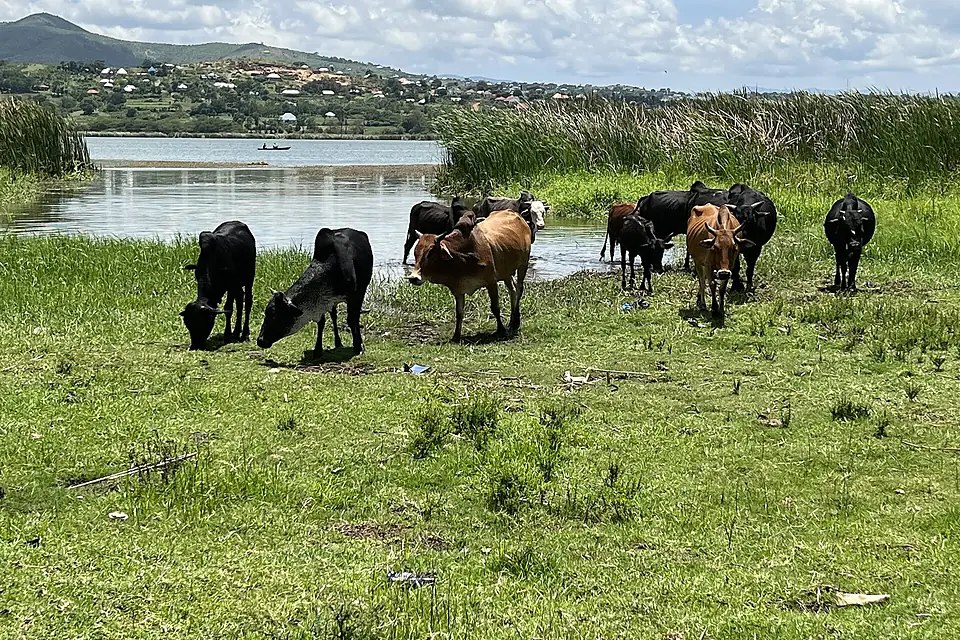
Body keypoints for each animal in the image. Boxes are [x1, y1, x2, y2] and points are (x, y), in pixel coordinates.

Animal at [180, 220, 256, 350]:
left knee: (247, 303)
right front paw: (230, 333)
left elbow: (228, 308)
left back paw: (244, 334)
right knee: (240, 301)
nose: (195, 346)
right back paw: (236, 332)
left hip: (248, 280)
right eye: (188, 324)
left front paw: (227, 335)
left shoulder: (231, 286)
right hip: (238, 286)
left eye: (204, 323)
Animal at [257, 227, 373, 358]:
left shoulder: (356, 295)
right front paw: (318, 349)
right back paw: (337, 342)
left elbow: (352, 319)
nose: (260, 340)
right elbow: (321, 323)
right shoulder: (322, 301)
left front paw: (358, 346)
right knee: (334, 316)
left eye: (275, 315)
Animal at [407, 209, 531, 342]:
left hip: (523, 264)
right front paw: (456, 336)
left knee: (519, 288)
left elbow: (495, 308)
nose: (413, 278)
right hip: (506, 272)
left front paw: (501, 330)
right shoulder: (458, 289)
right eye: (415, 253)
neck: (461, 258)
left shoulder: (491, 282)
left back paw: (515, 322)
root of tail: (515, 214)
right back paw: (512, 322)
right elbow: (459, 313)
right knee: (512, 290)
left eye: (430, 252)